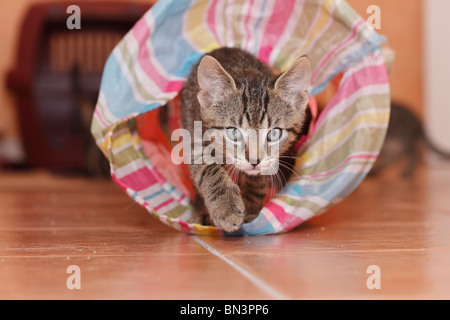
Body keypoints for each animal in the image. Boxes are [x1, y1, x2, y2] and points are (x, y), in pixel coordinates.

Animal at [179, 47, 310, 231]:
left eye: (273, 134)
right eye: (234, 133)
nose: (254, 161)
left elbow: (257, 181)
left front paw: (249, 211)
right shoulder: (194, 135)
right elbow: (207, 168)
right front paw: (226, 207)